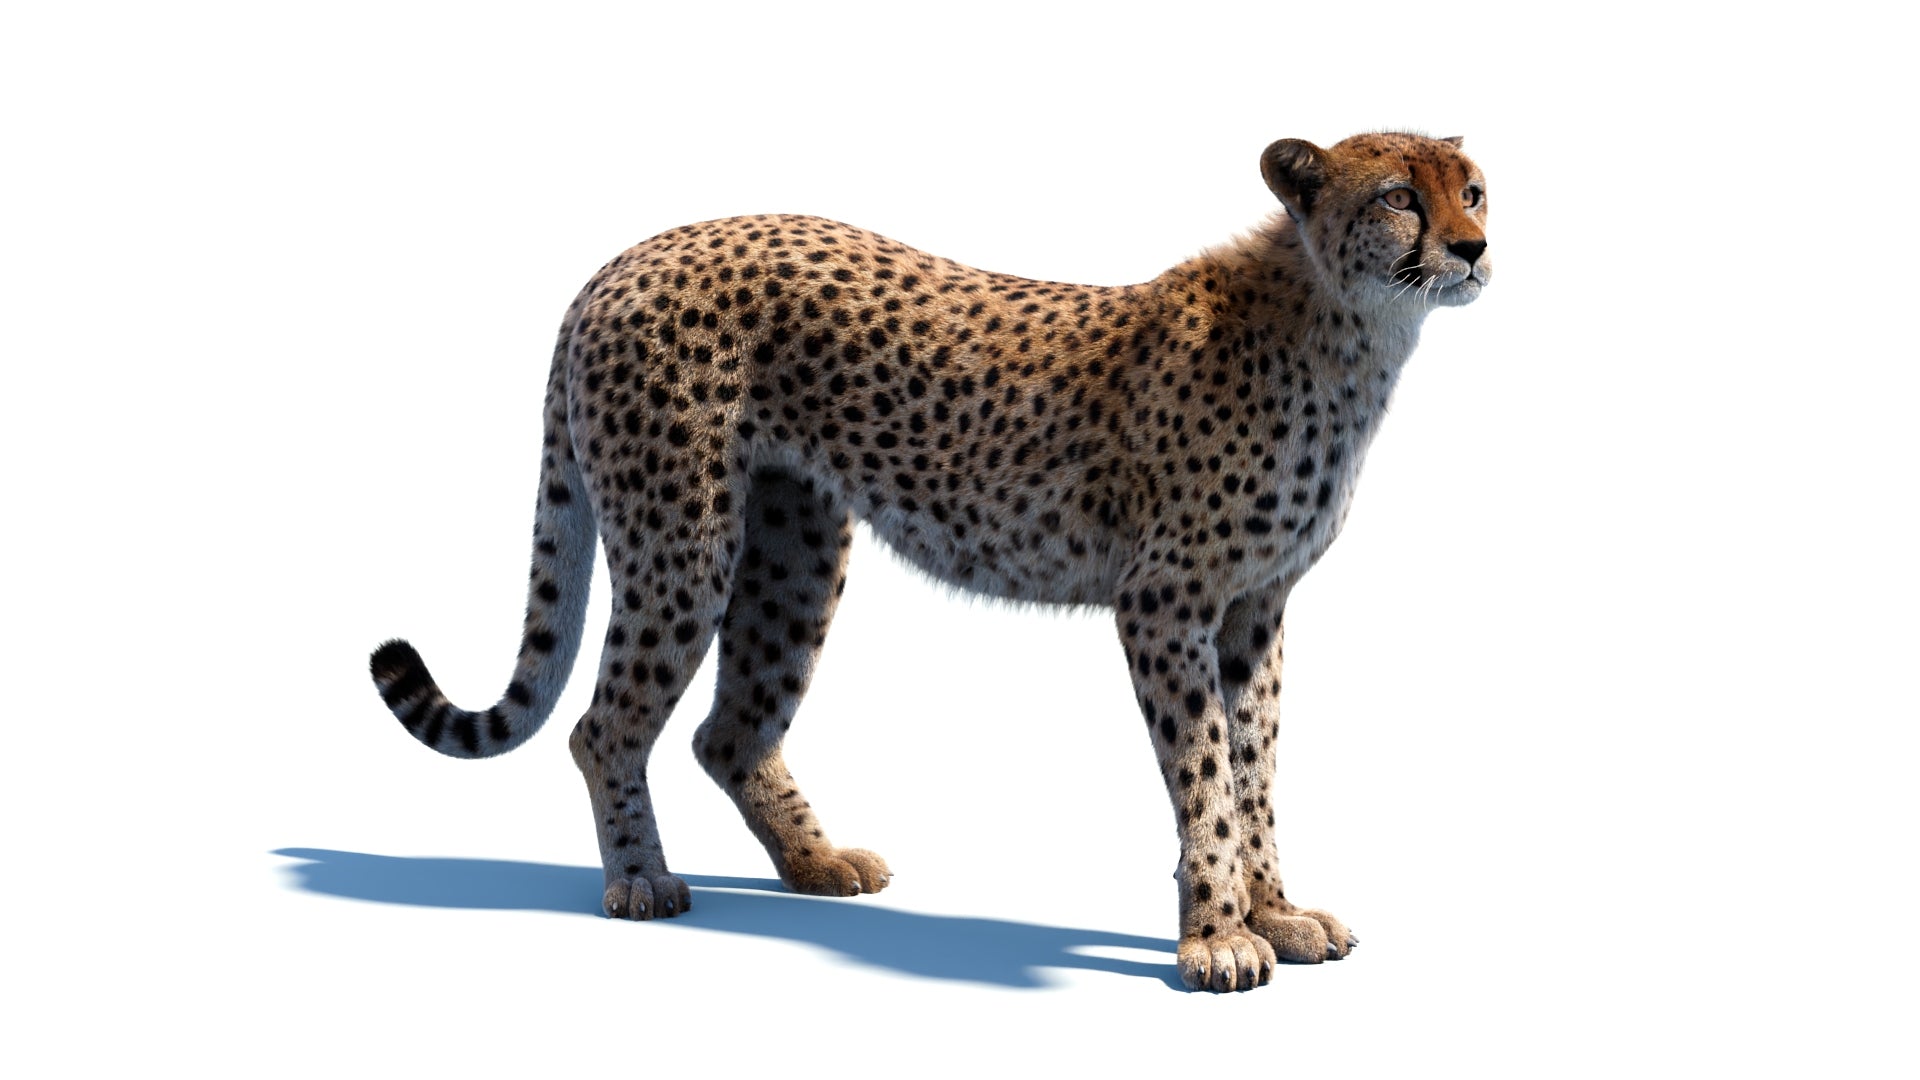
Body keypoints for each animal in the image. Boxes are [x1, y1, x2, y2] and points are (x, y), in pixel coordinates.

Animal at [369, 131, 1489, 992]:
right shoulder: (1165, 605)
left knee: (729, 731)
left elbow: (1255, 769)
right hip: (682, 539)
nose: (1475, 248)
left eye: (1472, 187)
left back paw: (816, 862)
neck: (1345, 329)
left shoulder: (1255, 612)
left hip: (798, 548)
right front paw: (1218, 938)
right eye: (1398, 195)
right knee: (604, 726)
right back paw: (641, 881)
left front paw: (1277, 911)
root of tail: (630, 254)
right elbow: (1206, 777)